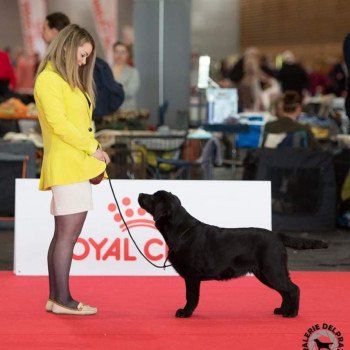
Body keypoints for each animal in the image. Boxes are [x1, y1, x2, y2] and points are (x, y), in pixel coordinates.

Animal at [137, 191, 328, 318]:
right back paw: (282, 310)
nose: (140, 194)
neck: (181, 230)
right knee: (285, 292)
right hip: (266, 273)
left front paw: (185, 312)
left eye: (153, 197)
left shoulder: (192, 276)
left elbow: (191, 297)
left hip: (272, 270)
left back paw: (292, 313)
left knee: (293, 289)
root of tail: (277, 235)